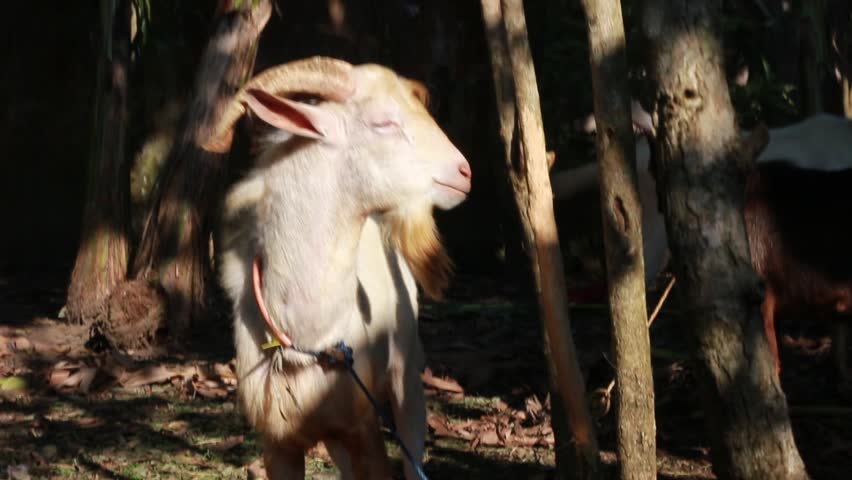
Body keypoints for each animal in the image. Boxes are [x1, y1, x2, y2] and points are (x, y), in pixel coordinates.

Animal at [209, 57, 471, 479]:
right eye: (384, 122)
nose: (464, 173)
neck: (308, 337)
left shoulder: (363, 425)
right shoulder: (279, 440)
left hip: (406, 378)